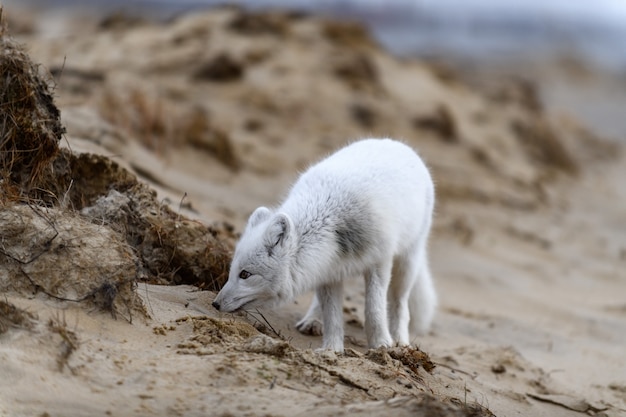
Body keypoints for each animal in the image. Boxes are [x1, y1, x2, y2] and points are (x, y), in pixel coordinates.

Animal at [210, 138, 434, 350]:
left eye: (245, 274)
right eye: (232, 271)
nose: (215, 304)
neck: (328, 221)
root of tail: (397, 144)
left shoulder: (379, 261)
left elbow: (374, 309)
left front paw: (381, 344)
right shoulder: (327, 272)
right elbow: (332, 315)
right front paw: (332, 350)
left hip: (407, 262)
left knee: (400, 303)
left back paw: (400, 340)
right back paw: (312, 320)